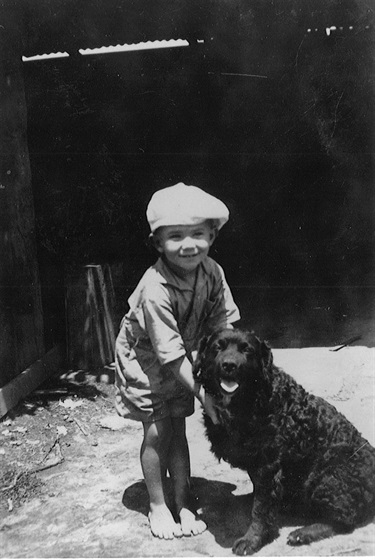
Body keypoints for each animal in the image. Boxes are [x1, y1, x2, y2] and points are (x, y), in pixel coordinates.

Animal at [194, 328, 375, 556]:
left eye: (247, 350)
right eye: (218, 347)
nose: (229, 365)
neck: (252, 399)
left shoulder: (268, 465)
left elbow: (260, 509)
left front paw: (252, 539)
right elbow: (261, 498)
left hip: (328, 474)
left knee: (344, 520)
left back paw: (303, 533)